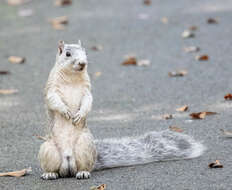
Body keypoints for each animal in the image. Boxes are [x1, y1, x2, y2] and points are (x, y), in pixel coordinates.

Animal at [37, 40, 205, 180]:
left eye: (85, 52)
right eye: (67, 54)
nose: (82, 63)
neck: (72, 77)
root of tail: (68, 163)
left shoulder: (87, 89)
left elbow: (88, 101)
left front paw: (80, 114)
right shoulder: (51, 87)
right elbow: (53, 99)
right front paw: (65, 111)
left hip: (85, 146)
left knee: (83, 167)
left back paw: (82, 172)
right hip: (48, 150)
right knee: (55, 169)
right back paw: (50, 174)